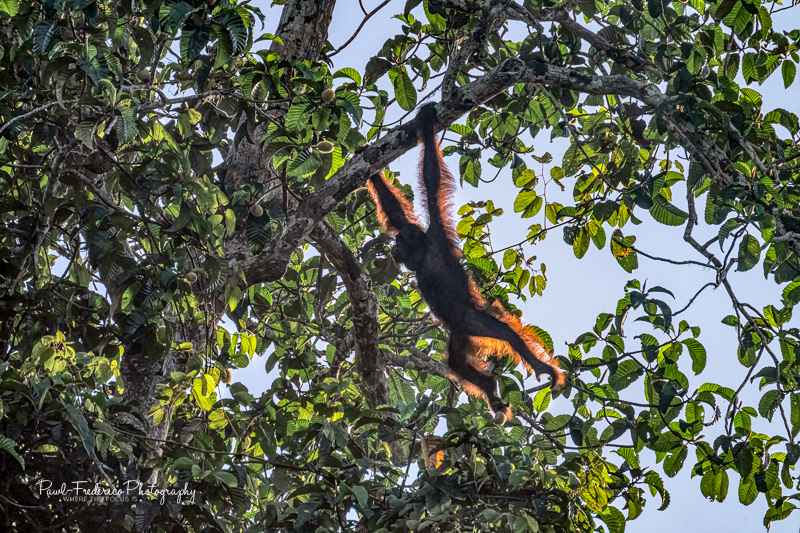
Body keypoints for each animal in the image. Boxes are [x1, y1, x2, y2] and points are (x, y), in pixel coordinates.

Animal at [367, 103, 565, 423]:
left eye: (400, 244)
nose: (394, 249)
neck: (423, 254)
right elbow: (395, 211)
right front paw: (370, 169)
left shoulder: (436, 236)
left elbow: (431, 178)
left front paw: (426, 123)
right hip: (461, 334)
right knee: (457, 364)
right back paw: (491, 390)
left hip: (473, 319)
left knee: (505, 333)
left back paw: (539, 367)